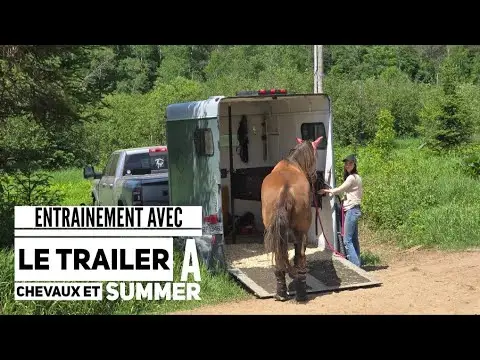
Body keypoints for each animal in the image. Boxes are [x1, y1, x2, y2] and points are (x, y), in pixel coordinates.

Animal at [260, 135, 324, 300]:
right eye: (316, 156)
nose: (315, 176)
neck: (292, 163)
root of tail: (285, 189)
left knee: (279, 256)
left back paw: (281, 293)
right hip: (301, 231)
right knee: (300, 256)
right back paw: (301, 292)